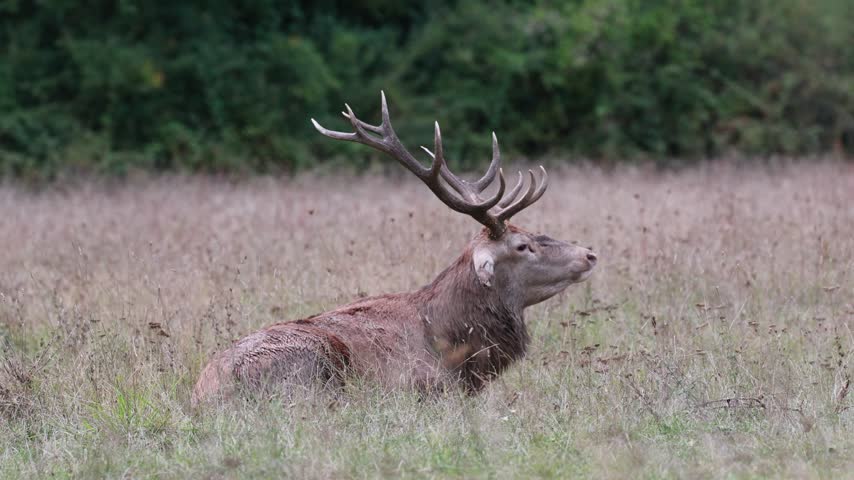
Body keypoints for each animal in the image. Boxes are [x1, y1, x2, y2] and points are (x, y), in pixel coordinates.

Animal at [191, 92, 598, 406]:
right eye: (523, 245)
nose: (589, 254)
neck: (455, 345)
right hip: (312, 368)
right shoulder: (423, 386)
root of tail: (206, 393)